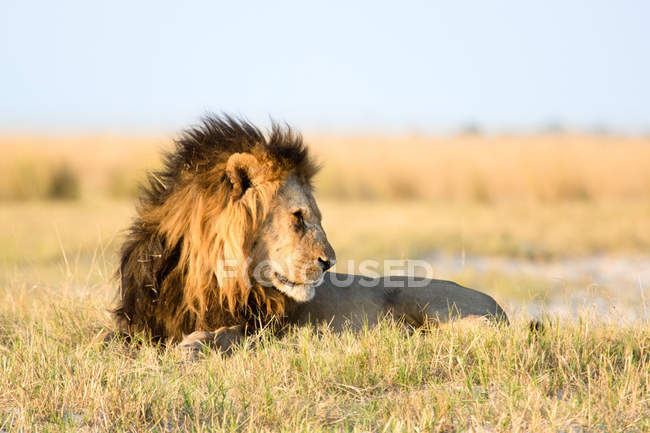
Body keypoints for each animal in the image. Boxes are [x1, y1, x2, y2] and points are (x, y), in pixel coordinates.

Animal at [112, 116, 506, 352]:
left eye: (315, 216)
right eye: (298, 217)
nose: (329, 262)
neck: (205, 273)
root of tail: (498, 305)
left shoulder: (263, 329)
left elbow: (225, 334)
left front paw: (193, 346)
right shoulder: (136, 324)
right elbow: (109, 338)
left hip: (427, 301)